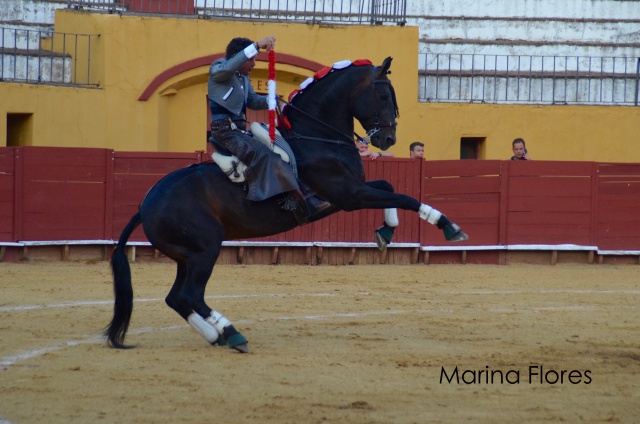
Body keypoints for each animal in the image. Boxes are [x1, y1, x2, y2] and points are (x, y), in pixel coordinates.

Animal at [104, 57, 464, 354]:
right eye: (385, 96)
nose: (388, 140)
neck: (316, 137)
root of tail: (146, 203)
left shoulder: (347, 195)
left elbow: (389, 186)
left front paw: (386, 233)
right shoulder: (349, 195)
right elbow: (404, 195)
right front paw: (449, 226)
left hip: (186, 255)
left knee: (177, 297)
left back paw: (217, 336)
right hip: (205, 250)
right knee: (189, 295)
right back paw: (232, 333)